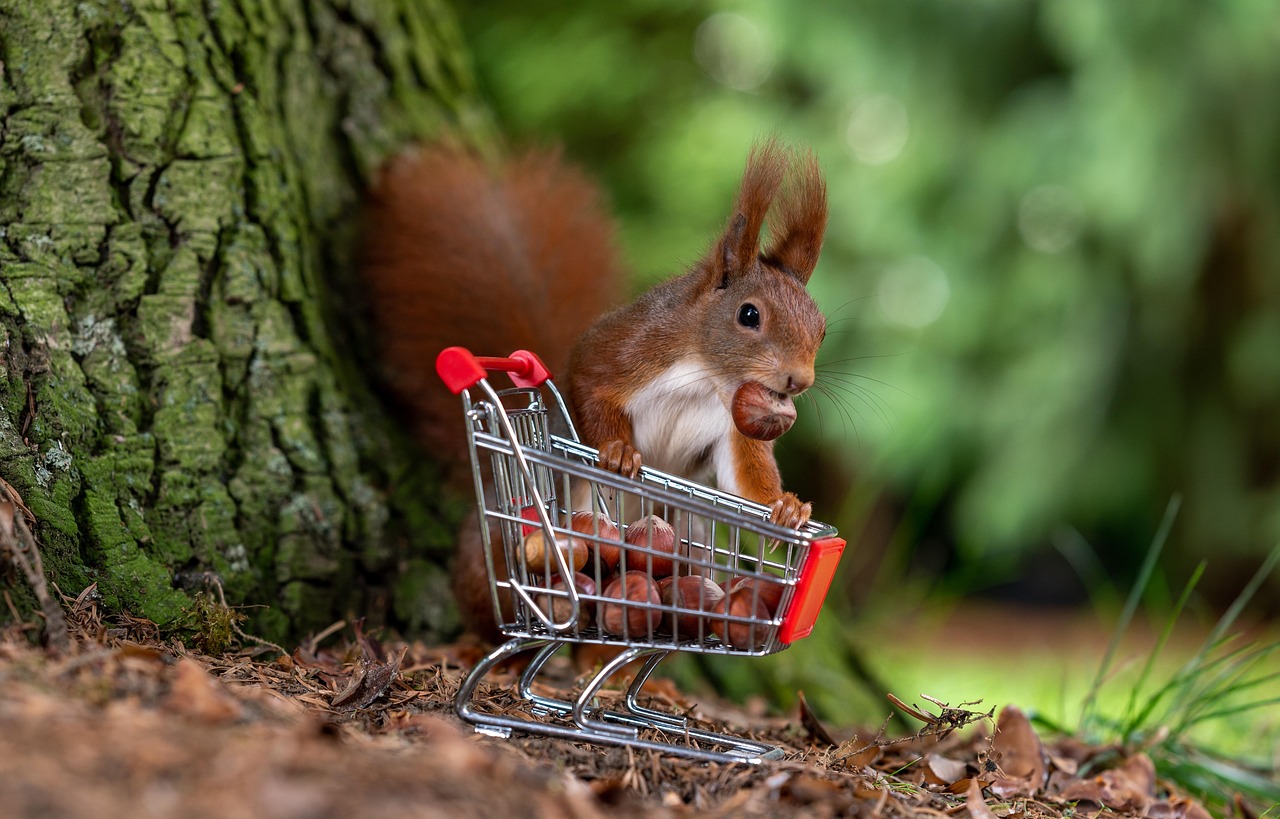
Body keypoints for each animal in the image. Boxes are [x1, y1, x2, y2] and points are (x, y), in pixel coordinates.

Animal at [360, 139, 829, 641]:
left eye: (821, 329)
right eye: (748, 315)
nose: (799, 381)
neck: (706, 378)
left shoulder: (733, 428)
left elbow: (744, 477)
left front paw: (786, 507)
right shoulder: (624, 350)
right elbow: (592, 387)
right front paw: (619, 452)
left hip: (693, 533)